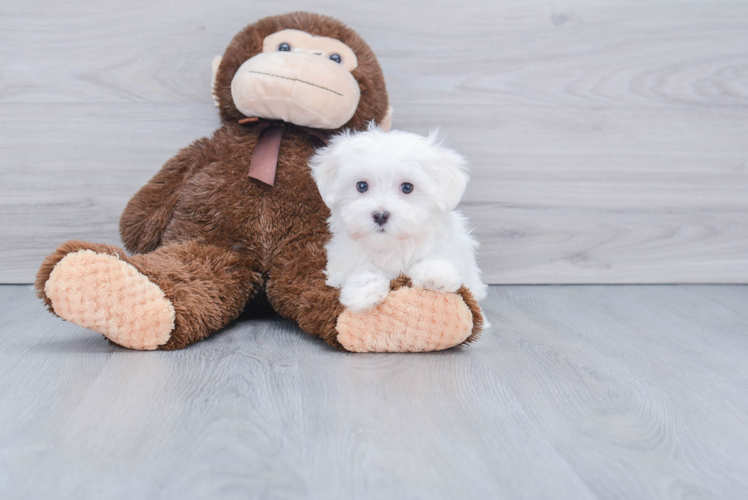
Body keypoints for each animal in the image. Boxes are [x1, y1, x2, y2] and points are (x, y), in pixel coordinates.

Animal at [308, 126, 488, 312]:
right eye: (362, 186)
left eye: (407, 187)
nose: (380, 215)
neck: (392, 247)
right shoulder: (341, 263)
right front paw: (364, 290)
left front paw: (435, 273)